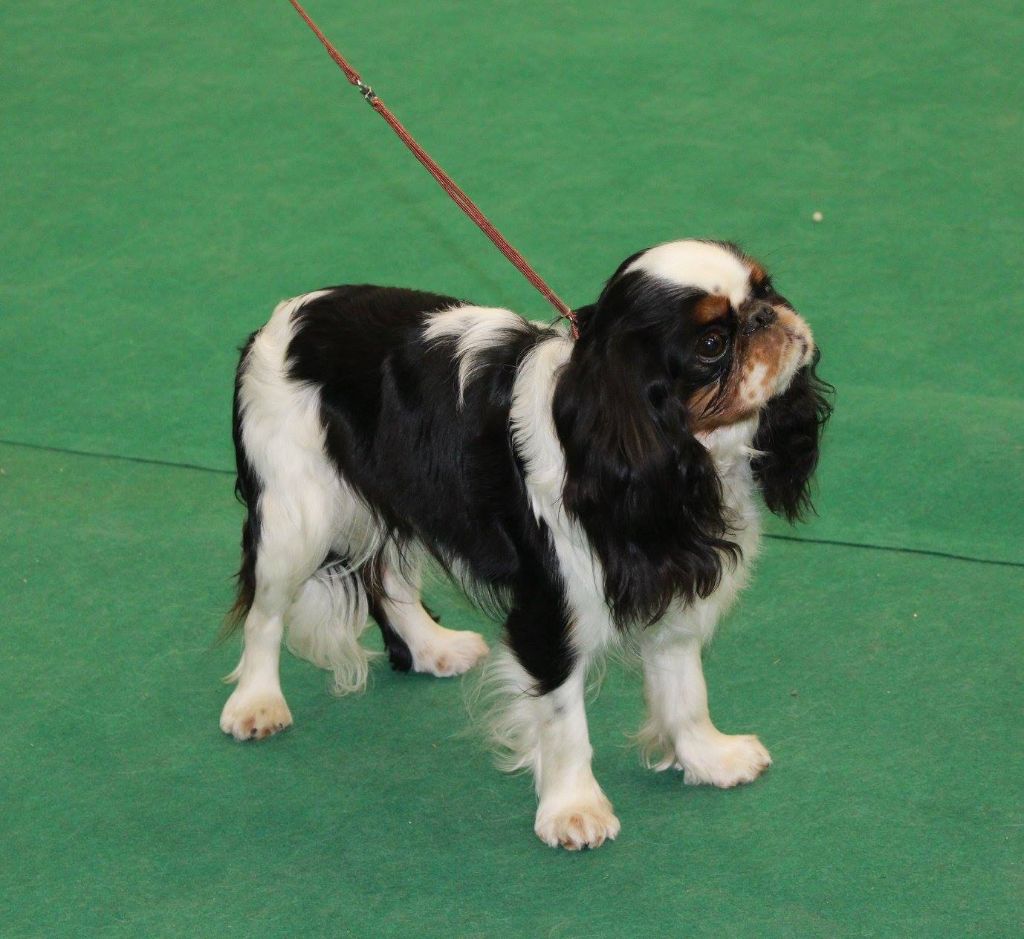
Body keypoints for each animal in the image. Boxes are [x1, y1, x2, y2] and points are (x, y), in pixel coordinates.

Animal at [220, 238, 827, 847]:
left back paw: (432, 648)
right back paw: (256, 703)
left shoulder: (673, 581)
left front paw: (708, 757)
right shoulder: (549, 609)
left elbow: (684, 689)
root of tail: (277, 322)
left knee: (388, 576)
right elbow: (564, 718)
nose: (768, 316)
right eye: (711, 344)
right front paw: (573, 810)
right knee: (264, 614)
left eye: (766, 288)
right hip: (295, 517)